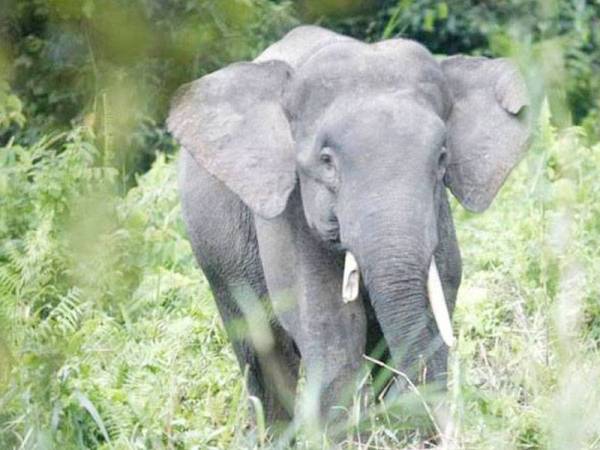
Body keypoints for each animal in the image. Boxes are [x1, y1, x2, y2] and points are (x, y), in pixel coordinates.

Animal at [168, 23, 528, 436]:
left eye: (441, 158)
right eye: (326, 161)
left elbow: (438, 297)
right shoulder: (289, 215)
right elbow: (331, 327)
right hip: (215, 254)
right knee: (262, 348)